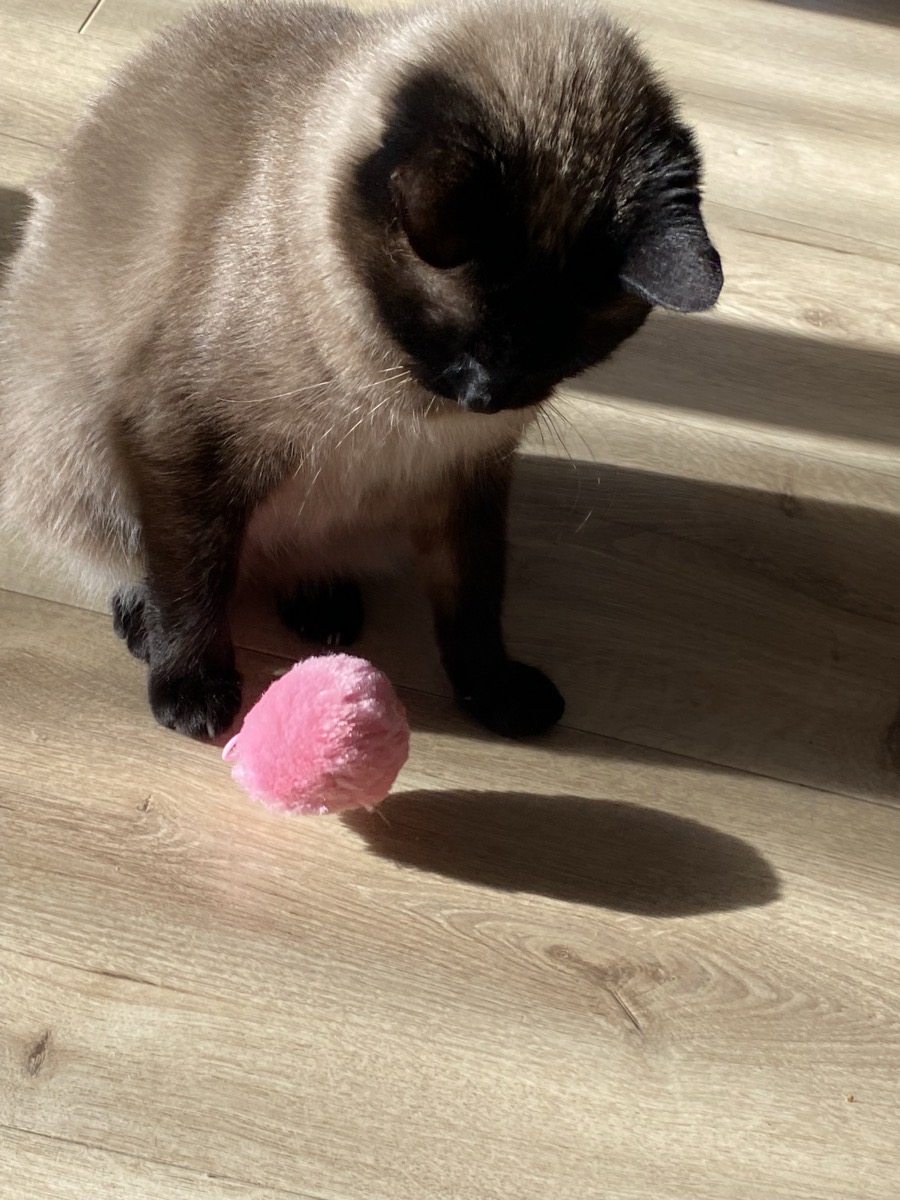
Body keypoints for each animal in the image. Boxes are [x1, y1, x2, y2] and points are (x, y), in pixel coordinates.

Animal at [0, 0, 722, 739]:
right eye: (439, 331)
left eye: (564, 352)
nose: (487, 396)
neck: (393, 409)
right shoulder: (191, 446)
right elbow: (192, 583)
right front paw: (193, 692)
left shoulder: (466, 476)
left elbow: (474, 603)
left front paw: (495, 696)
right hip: (72, 445)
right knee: (132, 557)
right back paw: (147, 624)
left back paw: (321, 606)